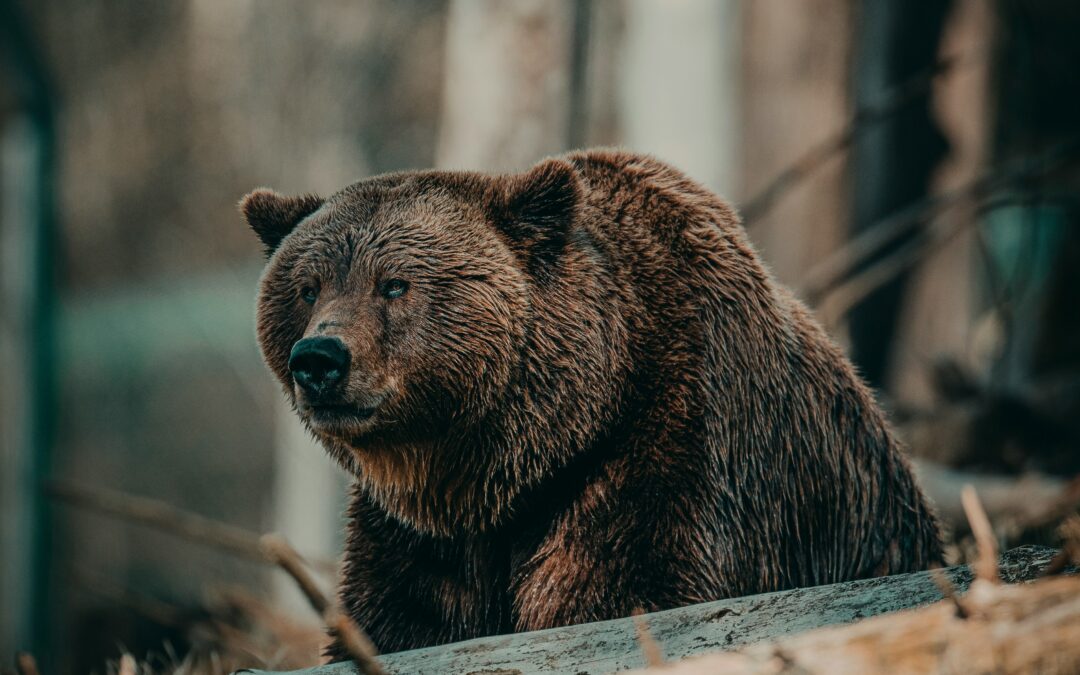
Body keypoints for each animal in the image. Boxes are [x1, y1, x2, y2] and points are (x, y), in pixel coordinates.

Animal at [240, 149, 941, 656]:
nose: (319, 359)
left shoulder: (671, 445)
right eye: (307, 287)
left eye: (394, 284)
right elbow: (398, 618)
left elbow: (622, 590)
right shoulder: (421, 536)